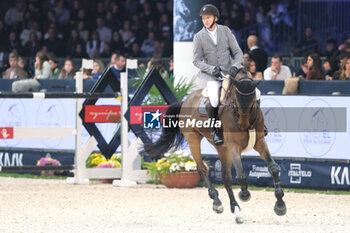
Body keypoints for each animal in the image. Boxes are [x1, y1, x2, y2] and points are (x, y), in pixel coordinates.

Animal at [143, 68, 288, 224]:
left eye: (253, 100)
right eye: (236, 100)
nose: (243, 126)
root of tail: (185, 100)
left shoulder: (259, 142)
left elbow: (273, 168)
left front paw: (280, 205)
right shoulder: (234, 146)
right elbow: (241, 175)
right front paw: (244, 194)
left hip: (222, 148)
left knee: (226, 177)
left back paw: (235, 209)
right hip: (194, 139)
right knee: (202, 169)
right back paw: (217, 202)